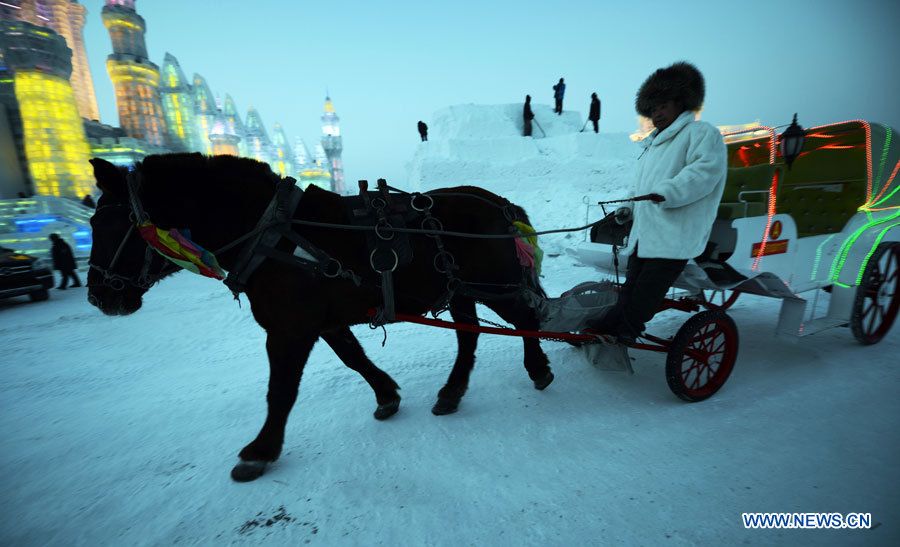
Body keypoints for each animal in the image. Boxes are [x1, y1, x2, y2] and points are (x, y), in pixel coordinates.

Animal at [89, 152, 556, 482]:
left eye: (107, 223)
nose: (97, 296)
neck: (270, 233)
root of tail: (499, 203)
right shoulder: (322, 322)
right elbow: (354, 358)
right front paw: (386, 395)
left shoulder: (287, 330)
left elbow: (280, 391)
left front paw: (260, 451)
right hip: (460, 288)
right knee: (470, 335)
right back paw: (452, 391)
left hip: (494, 285)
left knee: (525, 318)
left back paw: (538, 369)